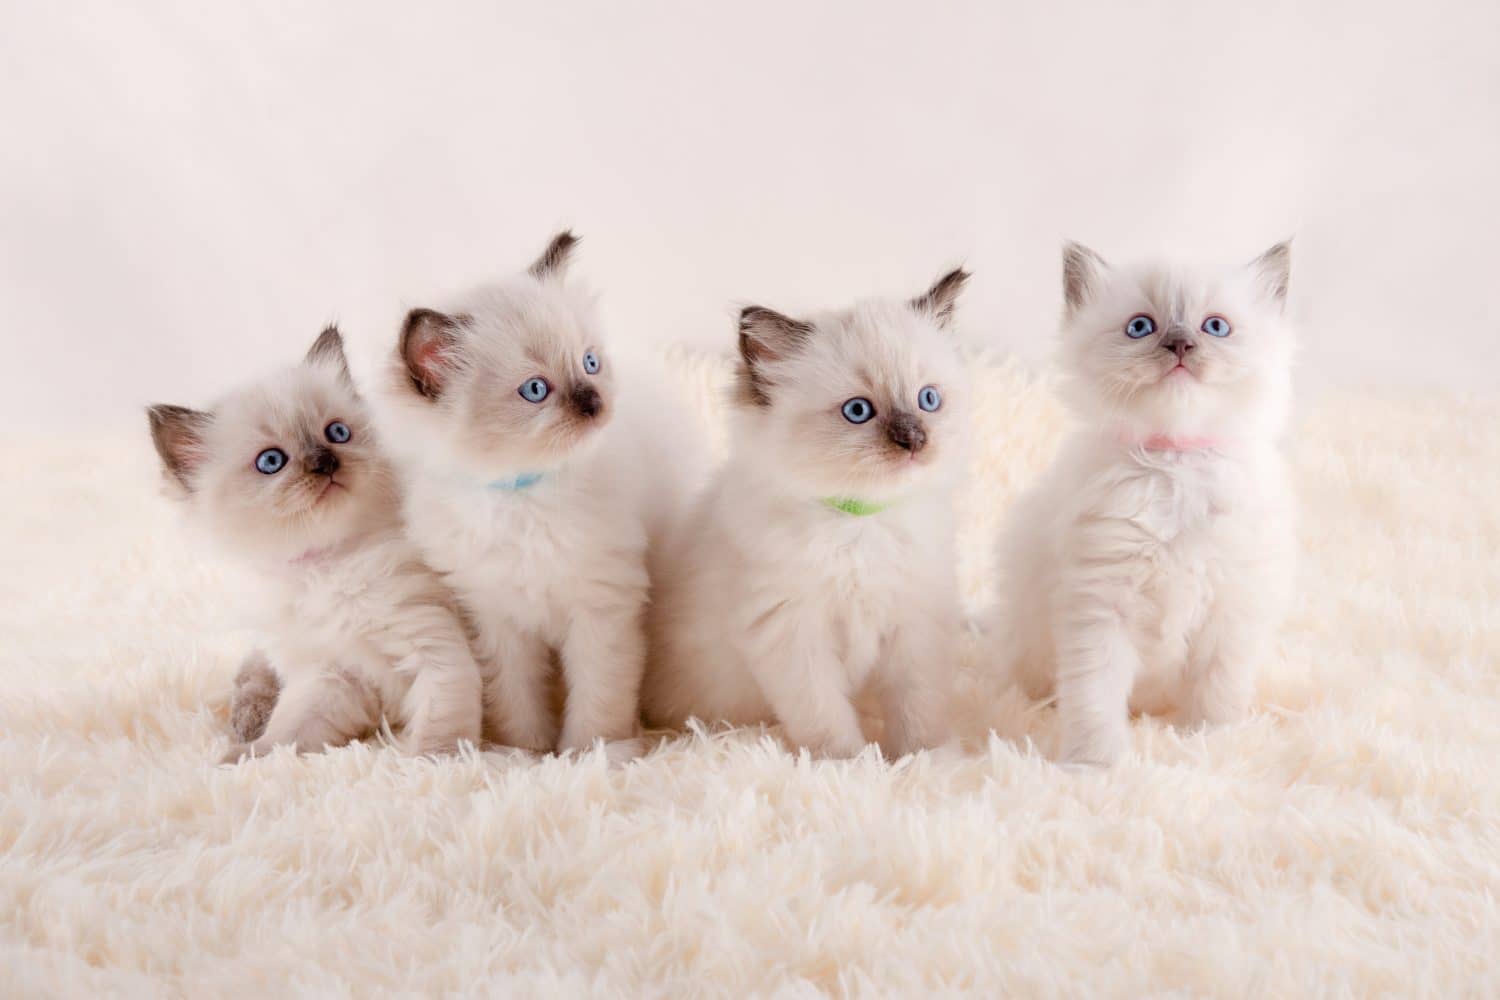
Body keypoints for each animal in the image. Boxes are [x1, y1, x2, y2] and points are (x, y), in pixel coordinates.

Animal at [149, 326, 483, 758]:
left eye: (337, 433)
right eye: (271, 462)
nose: (324, 463)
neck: (326, 566)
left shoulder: (433, 642)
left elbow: (440, 728)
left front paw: (432, 763)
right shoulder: (333, 675)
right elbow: (286, 735)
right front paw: (240, 759)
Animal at [378, 229, 699, 758]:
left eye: (590, 362)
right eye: (535, 390)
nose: (594, 402)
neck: (523, 495)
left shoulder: (601, 610)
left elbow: (598, 693)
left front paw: (590, 752)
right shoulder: (497, 621)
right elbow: (514, 696)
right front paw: (525, 753)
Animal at [642, 268, 972, 758]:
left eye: (928, 399)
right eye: (858, 411)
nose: (914, 440)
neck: (861, 521)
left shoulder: (915, 626)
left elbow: (918, 709)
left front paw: (924, 760)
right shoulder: (792, 635)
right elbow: (826, 718)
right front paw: (853, 764)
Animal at [990, 242, 1296, 767]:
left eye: (1215, 327)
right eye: (1141, 327)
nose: (1179, 345)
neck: (1175, 463)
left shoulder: (1230, 606)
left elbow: (1217, 692)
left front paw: (1209, 743)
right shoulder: (1101, 606)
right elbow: (1095, 699)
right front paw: (1095, 765)